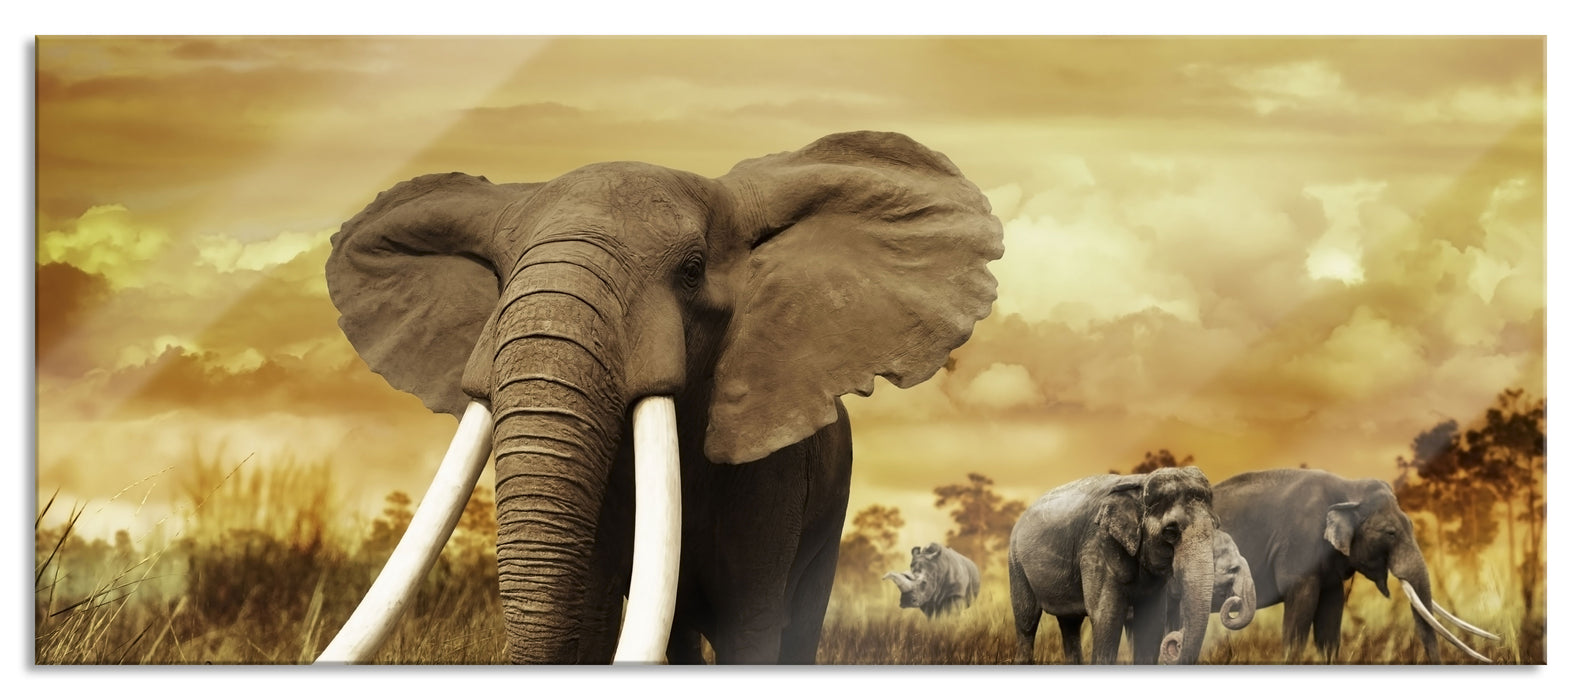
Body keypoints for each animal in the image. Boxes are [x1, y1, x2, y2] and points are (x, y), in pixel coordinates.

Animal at [1007, 467, 1220, 665]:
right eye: (1170, 531)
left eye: (1215, 526)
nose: (1175, 643)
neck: (1141, 482)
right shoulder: (1098, 547)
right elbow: (1106, 617)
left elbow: (1151, 621)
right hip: (1016, 563)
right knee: (1026, 619)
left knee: (1070, 623)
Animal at [1212, 468, 1501, 663]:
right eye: (1390, 533)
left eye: (1410, 526)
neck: (1348, 488)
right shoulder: (1298, 549)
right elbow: (1298, 617)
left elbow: (1330, 620)